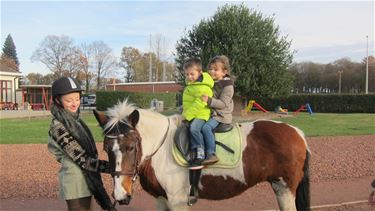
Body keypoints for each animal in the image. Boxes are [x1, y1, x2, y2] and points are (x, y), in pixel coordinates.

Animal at [94, 99, 312, 210]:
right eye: (106, 148)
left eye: (131, 147)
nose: (120, 195)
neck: (161, 149)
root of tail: (298, 133)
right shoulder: (161, 200)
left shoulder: (177, 201)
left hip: (284, 188)